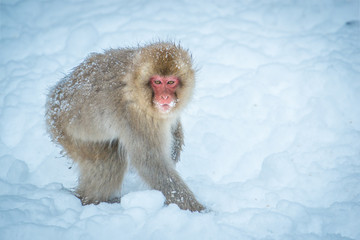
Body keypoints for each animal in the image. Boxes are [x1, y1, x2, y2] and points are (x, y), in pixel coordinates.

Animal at [44, 41, 205, 212]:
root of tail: (54, 99)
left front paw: (175, 144)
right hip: (69, 135)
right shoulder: (137, 116)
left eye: (170, 82)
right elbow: (151, 164)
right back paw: (91, 201)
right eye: (157, 82)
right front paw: (197, 209)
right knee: (109, 163)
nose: (164, 97)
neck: (135, 85)